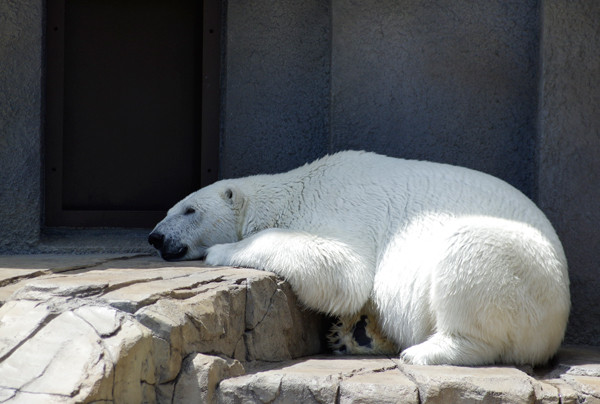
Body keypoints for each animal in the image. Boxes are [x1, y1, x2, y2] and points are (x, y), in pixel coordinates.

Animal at [148, 151, 568, 366]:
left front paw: (220, 250)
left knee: (470, 254)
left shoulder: (340, 206)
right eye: (171, 208)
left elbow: (343, 271)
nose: (155, 237)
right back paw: (359, 337)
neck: (296, 188)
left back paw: (424, 351)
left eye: (188, 210)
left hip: (523, 277)